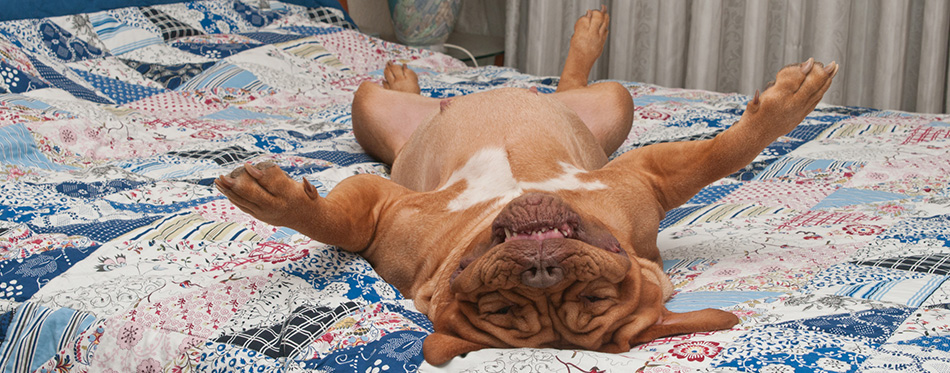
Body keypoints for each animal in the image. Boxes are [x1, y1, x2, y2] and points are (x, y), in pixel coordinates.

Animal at [218, 5, 840, 364]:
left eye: (595, 297)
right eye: (495, 307)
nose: (542, 270)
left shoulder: (644, 181)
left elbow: (722, 153)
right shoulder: (383, 211)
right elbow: (333, 220)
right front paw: (272, 198)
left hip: (610, 103)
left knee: (567, 86)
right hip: (369, 108)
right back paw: (407, 75)